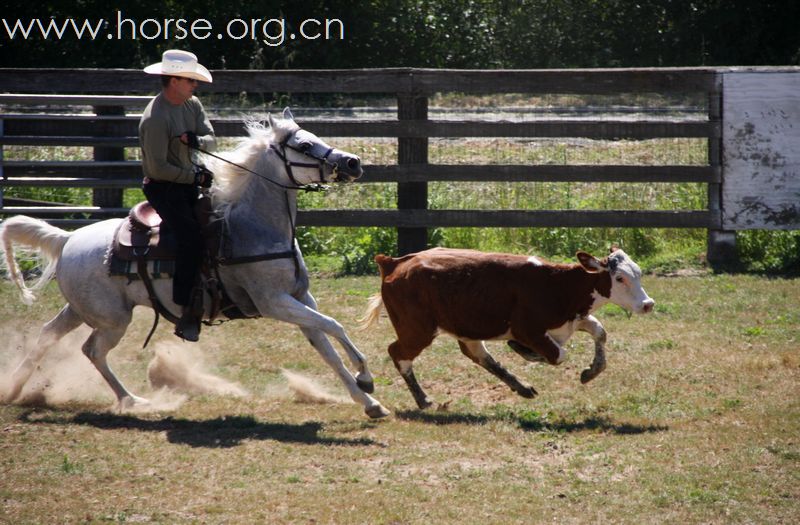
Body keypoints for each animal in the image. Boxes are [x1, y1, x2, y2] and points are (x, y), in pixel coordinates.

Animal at [2, 107, 390, 418]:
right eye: (305, 146)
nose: (353, 163)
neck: (255, 227)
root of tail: (67, 239)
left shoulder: (300, 298)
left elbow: (327, 346)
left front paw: (370, 402)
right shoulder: (274, 302)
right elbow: (334, 326)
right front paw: (366, 377)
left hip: (84, 309)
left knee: (49, 335)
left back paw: (15, 388)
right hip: (112, 319)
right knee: (93, 350)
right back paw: (132, 400)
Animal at [360, 247, 652, 410]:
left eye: (638, 273)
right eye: (619, 278)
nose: (648, 304)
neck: (558, 284)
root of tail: (394, 263)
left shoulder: (571, 319)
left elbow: (599, 332)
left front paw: (591, 371)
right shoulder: (529, 330)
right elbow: (558, 354)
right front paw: (523, 350)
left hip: (462, 328)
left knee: (478, 355)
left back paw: (521, 387)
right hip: (417, 330)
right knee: (398, 353)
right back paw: (424, 400)